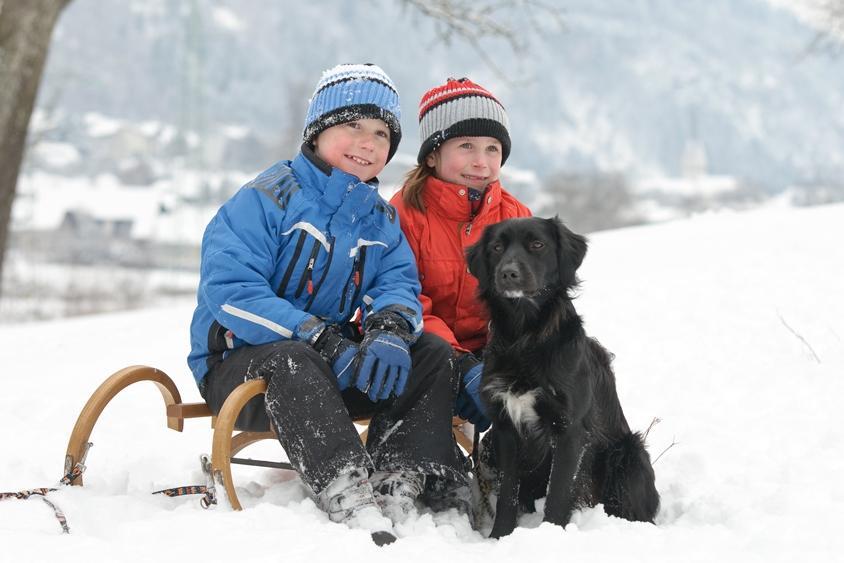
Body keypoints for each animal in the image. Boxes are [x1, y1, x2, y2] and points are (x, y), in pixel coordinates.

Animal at [468, 216, 660, 536]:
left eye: (537, 244)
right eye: (496, 247)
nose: (508, 274)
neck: (525, 337)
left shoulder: (570, 429)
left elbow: (558, 491)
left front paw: (551, 534)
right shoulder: (505, 428)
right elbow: (508, 494)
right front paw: (500, 537)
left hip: (629, 454)